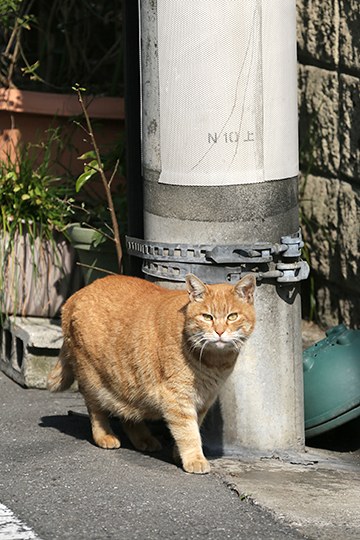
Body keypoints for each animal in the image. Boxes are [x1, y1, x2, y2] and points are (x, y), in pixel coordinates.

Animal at [47, 274, 256, 472]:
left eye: (232, 316)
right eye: (207, 317)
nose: (219, 332)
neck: (216, 362)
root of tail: (76, 294)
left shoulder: (204, 400)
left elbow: (193, 427)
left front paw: (179, 456)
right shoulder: (178, 398)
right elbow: (188, 433)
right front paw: (195, 459)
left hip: (127, 380)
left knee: (127, 414)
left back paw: (143, 439)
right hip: (93, 381)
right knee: (96, 410)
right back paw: (105, 436)